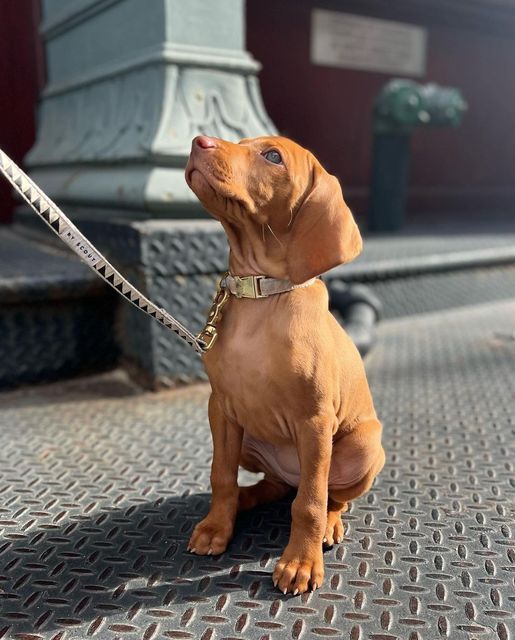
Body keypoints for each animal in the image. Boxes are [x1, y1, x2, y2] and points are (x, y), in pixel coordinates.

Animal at [187, 134, 384, 596]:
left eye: (273, 156)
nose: (199, 141)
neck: (261, 295)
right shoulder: (220, 409)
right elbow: (220, 476)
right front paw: (217, 527)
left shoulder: (314, 421)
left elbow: (308, 503)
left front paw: (300, 562)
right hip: (250, 443)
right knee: (274, 486)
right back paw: (245, 501)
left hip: (363, 448)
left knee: (327, 494)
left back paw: (329, 525)